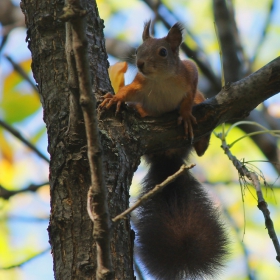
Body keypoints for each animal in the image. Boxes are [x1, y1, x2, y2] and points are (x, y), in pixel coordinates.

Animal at [99, 20, 229, 278]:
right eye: (138, 50)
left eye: (163, 52)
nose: (140, 64)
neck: (161, 80)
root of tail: (169, 159)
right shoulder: (139, 84)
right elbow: (126, 92)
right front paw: (115, 99)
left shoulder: (190, 73)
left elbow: (189, 97)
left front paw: (186, 115)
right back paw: (140, 111)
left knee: (200, 144)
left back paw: (201, 140)